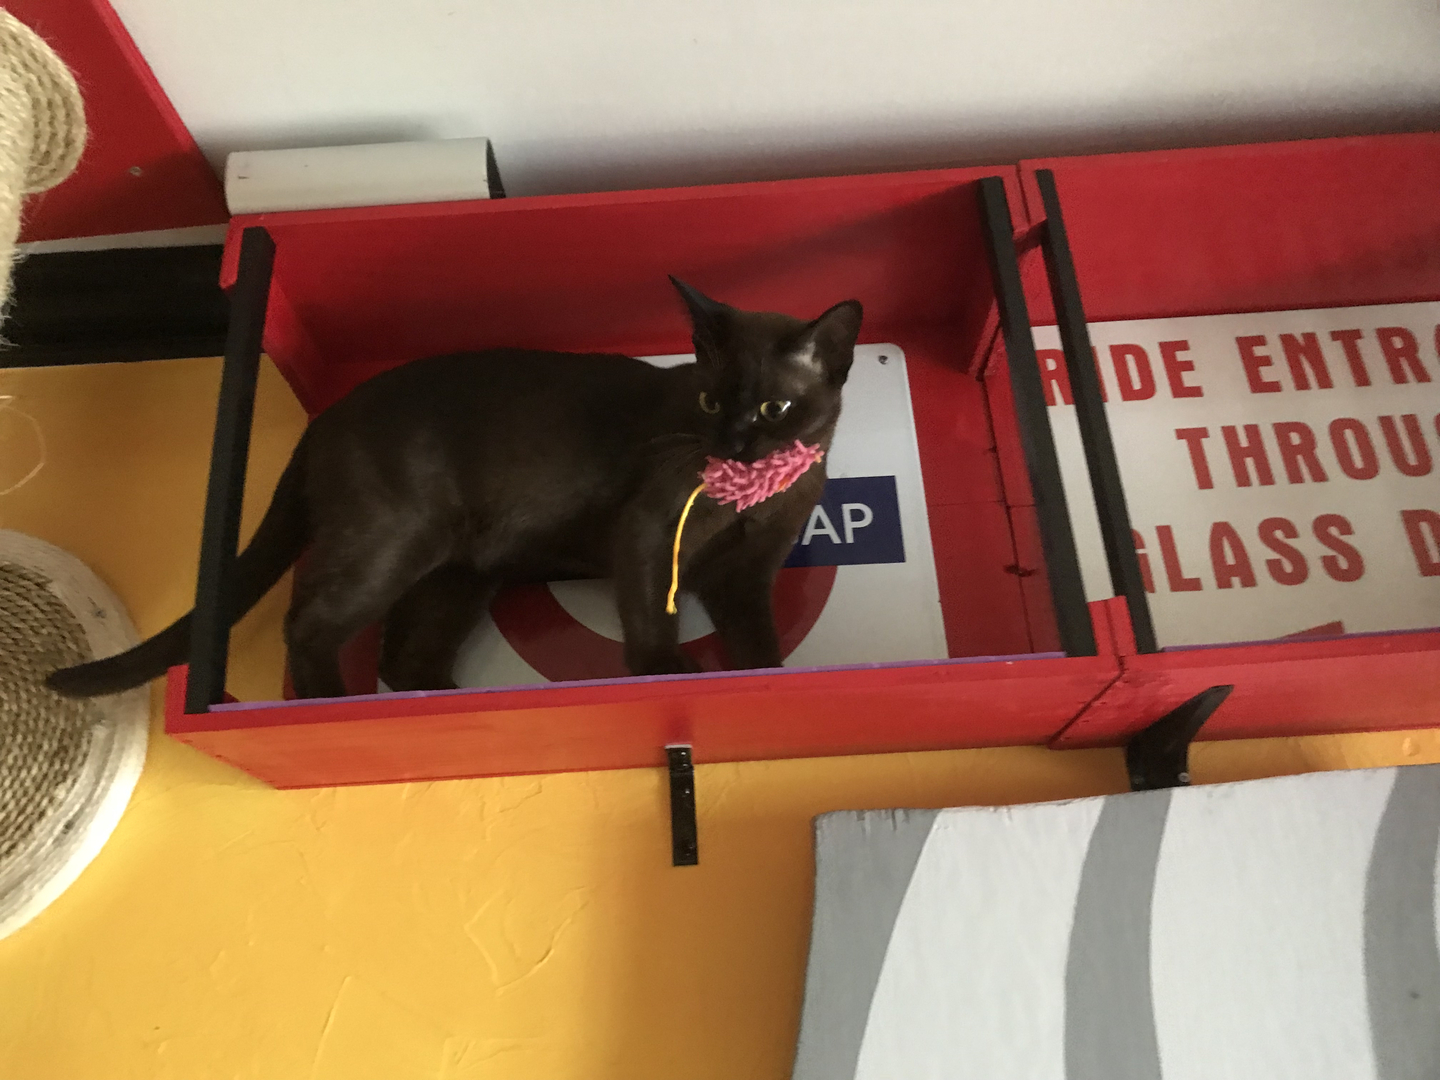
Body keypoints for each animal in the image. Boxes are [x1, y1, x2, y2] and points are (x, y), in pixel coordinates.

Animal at [47, 278, 862, 700]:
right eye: (709, 401)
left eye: (773, 409)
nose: (731, 443)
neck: (754, 500)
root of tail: (327, 417)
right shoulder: (647, 535)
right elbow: (649, 621)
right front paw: (666, 674)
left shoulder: (743, 577)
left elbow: (757, 641)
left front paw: (768, 678)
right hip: (396, 542)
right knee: (310, 622)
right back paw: (331, 701)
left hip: (461, 574)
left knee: (402, 659)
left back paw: (445, 698)